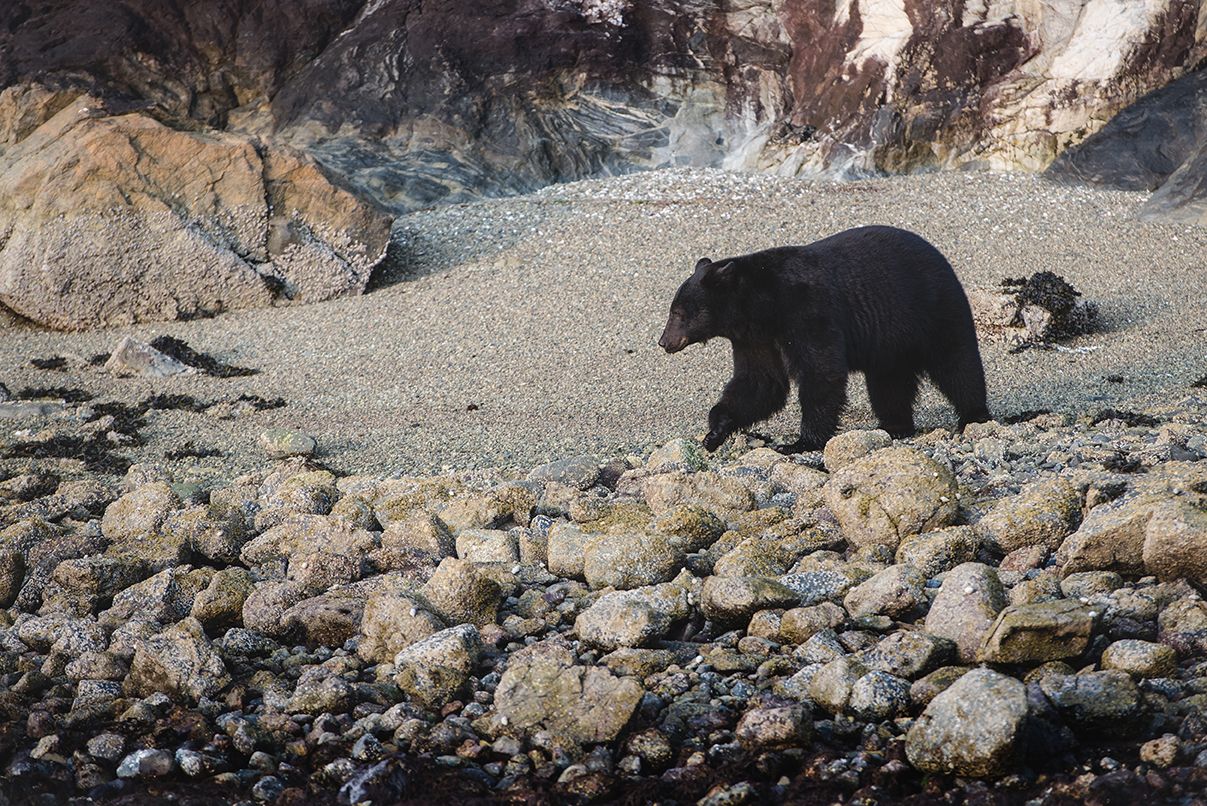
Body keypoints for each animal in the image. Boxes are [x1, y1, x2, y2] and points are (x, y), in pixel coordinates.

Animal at [658, 225, 990, 453]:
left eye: (678, 313)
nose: (664, 341)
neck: (763, 306)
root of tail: (940, 256)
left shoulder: (807, 310)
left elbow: (821, 371)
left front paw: (801, 442)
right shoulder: (754, 338)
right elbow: (760, 382)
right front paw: (715, 430)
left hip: (933, 310)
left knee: (957, 364)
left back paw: (974, 416)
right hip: (890, 346)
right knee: (889, 384)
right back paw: (894, 425)